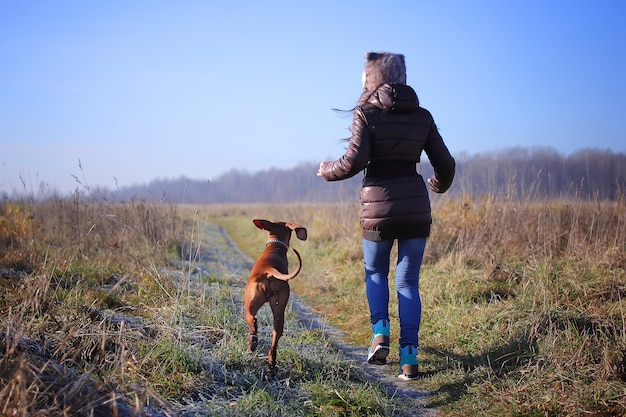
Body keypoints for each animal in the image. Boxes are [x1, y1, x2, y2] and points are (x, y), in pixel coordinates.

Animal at [243, 219, 306, 366]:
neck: (275, 247)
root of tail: (270, 270)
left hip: (248, 305)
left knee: (253, 321)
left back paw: (252, 343)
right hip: (279, 309)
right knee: (276, 335)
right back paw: (272, 361)